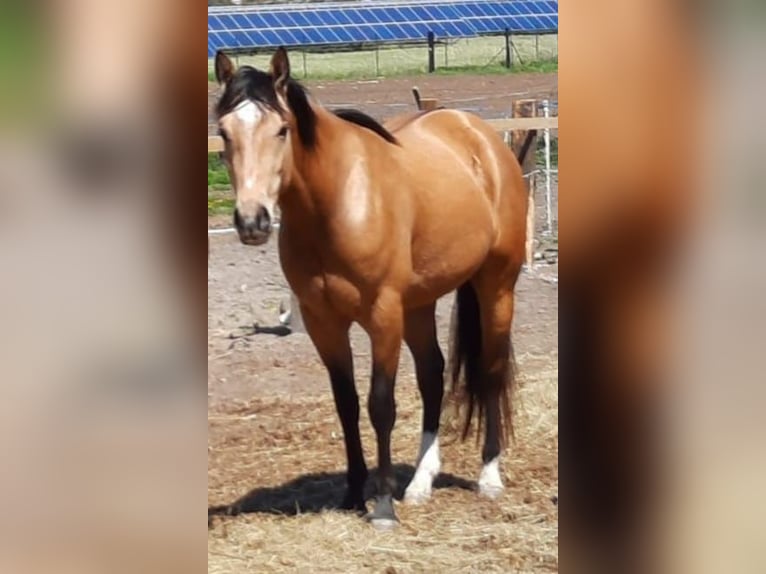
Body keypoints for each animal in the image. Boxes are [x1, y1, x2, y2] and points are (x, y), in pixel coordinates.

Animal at [213, 47, 528, 528]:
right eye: (224, 132)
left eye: (282, 129)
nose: (253, 221)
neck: (336, 202)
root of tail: (479, 135)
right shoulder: (323, 321)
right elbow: (346, 403)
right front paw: (351, 494)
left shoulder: (383, 314)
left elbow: (381, 404)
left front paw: (380, 505)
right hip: (419, 304)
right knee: (432, 376)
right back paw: (420, 483)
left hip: (496, 286)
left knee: (489, 371)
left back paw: (489, 475)